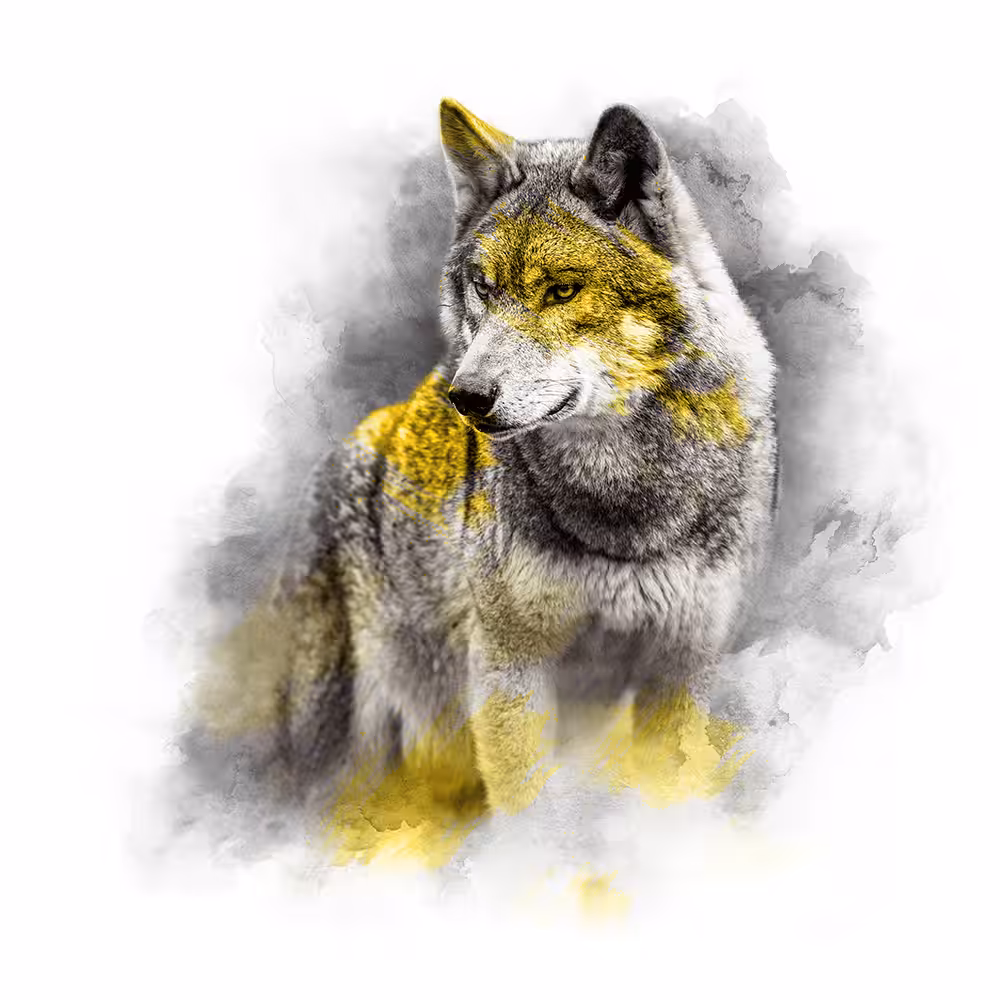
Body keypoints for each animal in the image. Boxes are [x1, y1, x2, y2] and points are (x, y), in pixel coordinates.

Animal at [193, 99, 779, 831]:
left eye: (562, 291)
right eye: (483, 287)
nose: (465, 396)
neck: (625, 504)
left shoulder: (681, 666)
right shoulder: (511, 669)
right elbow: (529, 811)